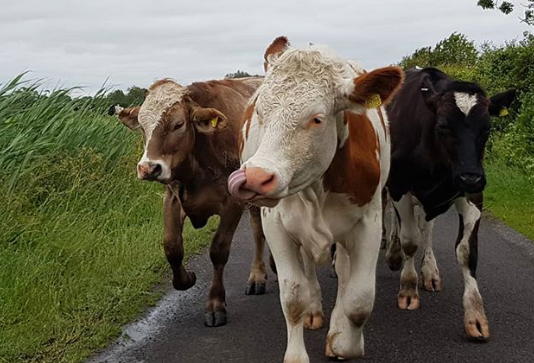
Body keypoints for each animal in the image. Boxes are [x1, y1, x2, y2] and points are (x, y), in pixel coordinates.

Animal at [113, 76, 272, 328]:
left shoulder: (234, 202)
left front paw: (216, 304)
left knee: (261, 231)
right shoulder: (172, 198)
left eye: (178, 124)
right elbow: (172, 247)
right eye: (143, 126)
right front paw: (186, 278)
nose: (148, 168)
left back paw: (260, 275)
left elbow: (218, 250)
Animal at [228, 37, 404, 363]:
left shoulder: (369, 223)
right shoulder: (276, 225)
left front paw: (344, 340)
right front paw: (297, 352)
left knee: (344, 271)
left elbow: (359, 299)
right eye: (260, 113)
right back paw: (314, 310)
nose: (256, 177)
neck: (318, 189)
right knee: (309, 268)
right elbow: (293, 296)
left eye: (317, 119)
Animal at [388, 67, 516, 342]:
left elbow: (467, 251)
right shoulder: (399, 187)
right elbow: (409, 241)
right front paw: (408, 289)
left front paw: (475, 316)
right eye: (443, 125)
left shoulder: (473, 197)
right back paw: (393, 253)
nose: (471, 177)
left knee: (427, 229)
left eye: (487, 128)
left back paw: (430, 271)